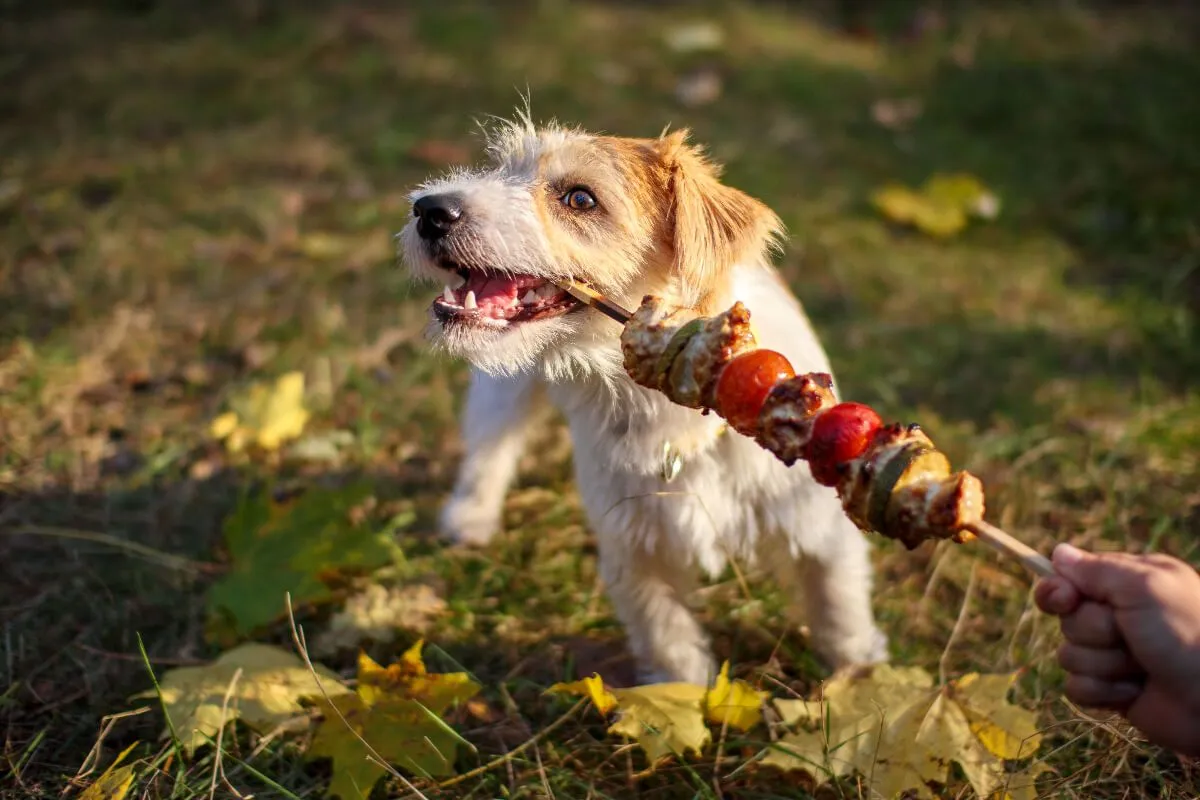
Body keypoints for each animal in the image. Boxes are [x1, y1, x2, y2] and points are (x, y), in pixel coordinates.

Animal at [398, 115, 888, 686]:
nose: (430, 209)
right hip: (504, 388)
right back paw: (470, 517)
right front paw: (683, 699)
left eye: (581, 199)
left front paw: (857, 675)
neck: (669, 410)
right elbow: (669, 642)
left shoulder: (820, 531)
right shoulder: (636, 554)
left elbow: (838, 606)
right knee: (490, 446)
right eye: (500, 169)